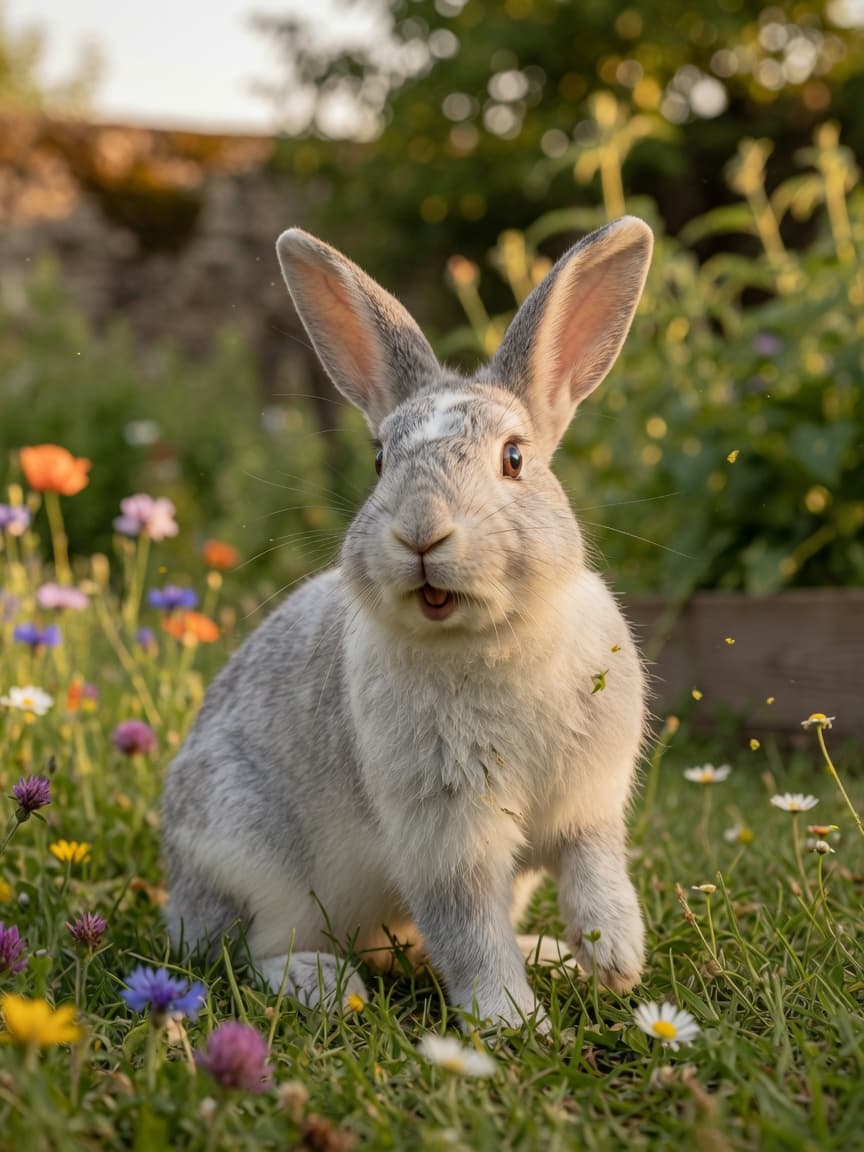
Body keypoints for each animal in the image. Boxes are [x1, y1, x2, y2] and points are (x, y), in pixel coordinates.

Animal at [161, 215, 653, 1029]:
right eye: (379, 462)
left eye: (513, 458)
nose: (421, 531)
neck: (489, 641)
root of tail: (178, 902)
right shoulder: (446, 833)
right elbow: (469, 929)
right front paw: (510, 1020)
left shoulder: (587, 808)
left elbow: (595, 871)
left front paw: (615, 959)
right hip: (255, 865)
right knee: (252, 955)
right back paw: (330, 987)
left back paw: (547, 954)